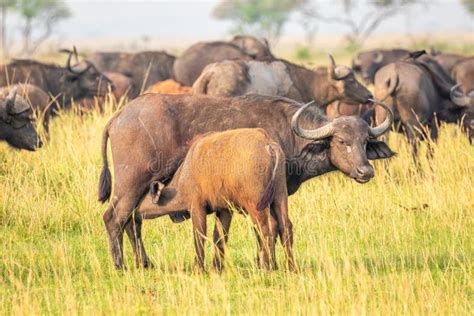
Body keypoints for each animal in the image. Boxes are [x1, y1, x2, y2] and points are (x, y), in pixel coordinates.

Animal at [150, 128, 294, 272]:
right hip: (279, 197)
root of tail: (268, 144)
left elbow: (200, 235)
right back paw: (288, 267)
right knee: (284, 227)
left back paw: (266, 267)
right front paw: (216, 268)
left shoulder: (197, 206)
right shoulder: (224, 209)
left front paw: (199, 268)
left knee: (265, 230)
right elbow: (219, 236)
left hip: (256, 206)